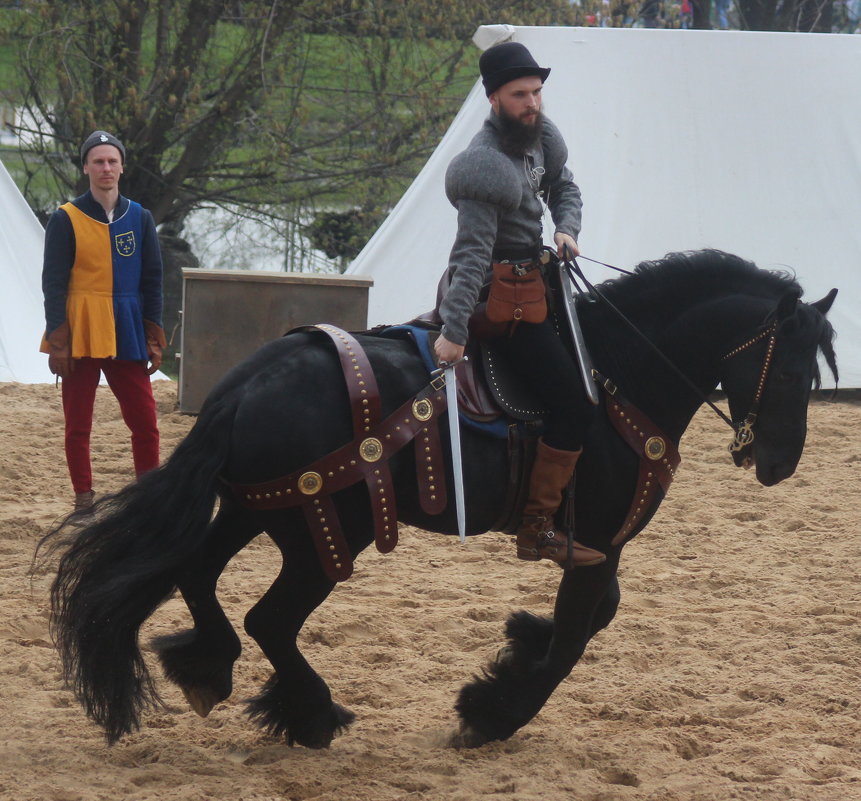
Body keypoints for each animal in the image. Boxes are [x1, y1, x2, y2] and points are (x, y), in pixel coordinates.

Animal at [40, 252, 832, 752]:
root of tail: (241, 389)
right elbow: (575, 639)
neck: (615, 369)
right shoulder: (598, 541)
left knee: (198, 579)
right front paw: (492, 711)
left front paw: (517, 640)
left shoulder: (593, 548)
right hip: (325, 536)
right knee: (269, 619)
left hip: (254, 513)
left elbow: (591, 618)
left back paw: (210, 669)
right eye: (795, 366)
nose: (781, 462)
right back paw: (313, 712)